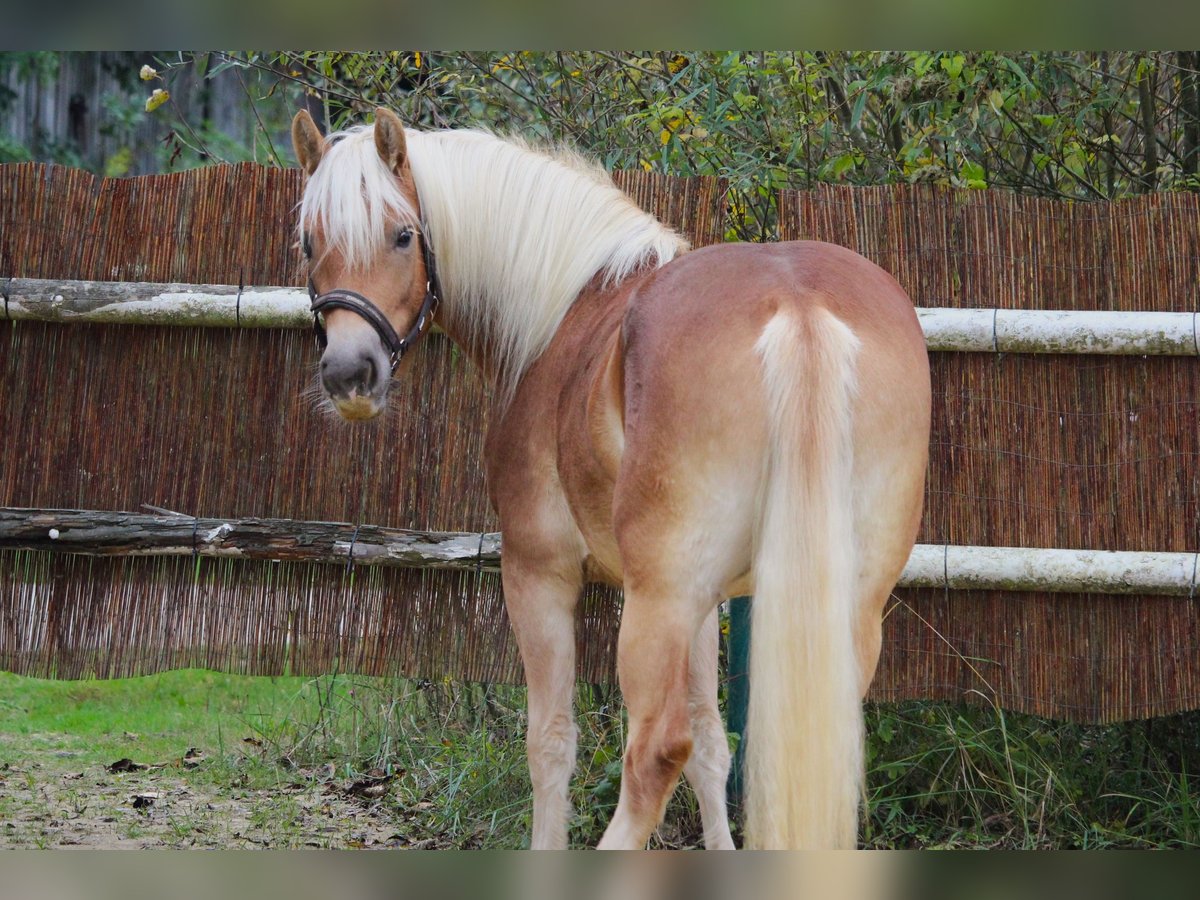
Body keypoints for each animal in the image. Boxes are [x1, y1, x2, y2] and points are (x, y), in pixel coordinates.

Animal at [295, 107, 931, 854]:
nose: (350, 374)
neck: (563, 317)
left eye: (401, 235)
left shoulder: (540, 575)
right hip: (837, 607)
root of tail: (798, 306)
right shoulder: (706, 603)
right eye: (309, 243)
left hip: (654, 606)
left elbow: (551, 745)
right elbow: (713, 748)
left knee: (654, 752)